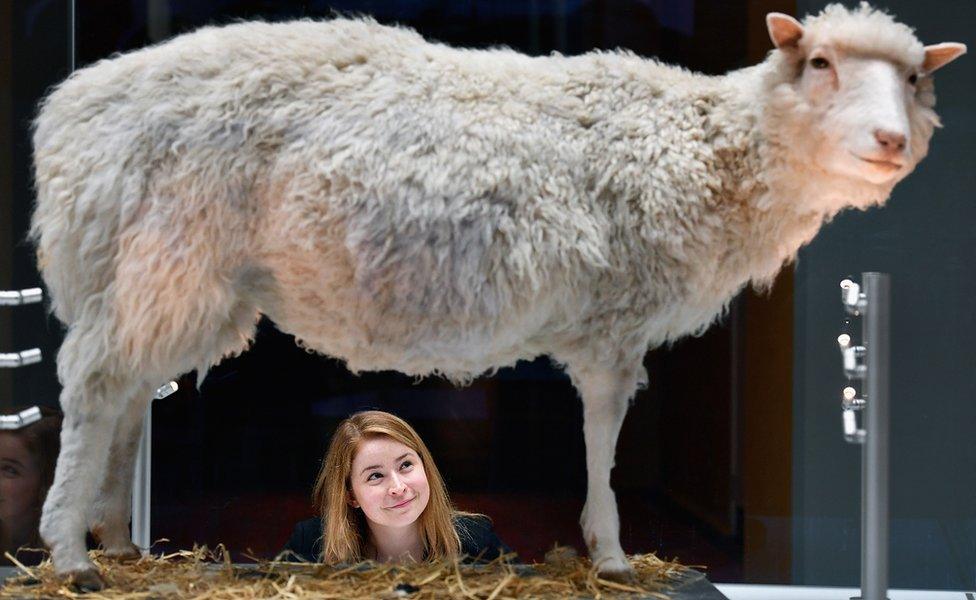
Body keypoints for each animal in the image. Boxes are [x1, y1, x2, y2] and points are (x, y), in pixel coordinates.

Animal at [28, 2, 960, 588]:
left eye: (916, 81)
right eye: (821, 64)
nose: (890, 139)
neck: (706, 148)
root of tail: (69, 113)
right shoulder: (614, 317)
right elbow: (602, 434)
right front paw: (611, 553)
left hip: (161, 276)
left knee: (126, 396)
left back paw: (118, 541)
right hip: (171, 255)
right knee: (96, 387)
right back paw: (69, 552)